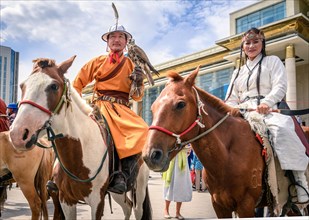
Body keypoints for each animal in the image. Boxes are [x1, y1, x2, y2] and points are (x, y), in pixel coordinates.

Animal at [10, 56, 152, 220]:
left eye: (54, 86)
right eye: (22, 86)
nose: (18, 134)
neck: (78, 154)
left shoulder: (97, 201)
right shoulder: (66, 200)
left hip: (139, 188)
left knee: (137, 210)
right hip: (116, 193)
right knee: (127, 207)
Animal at [142, 66, 306, 217]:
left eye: (180, 104)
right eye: (152, 108)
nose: (151, 155)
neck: (227, 157)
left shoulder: (246, 205)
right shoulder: (219, 204)